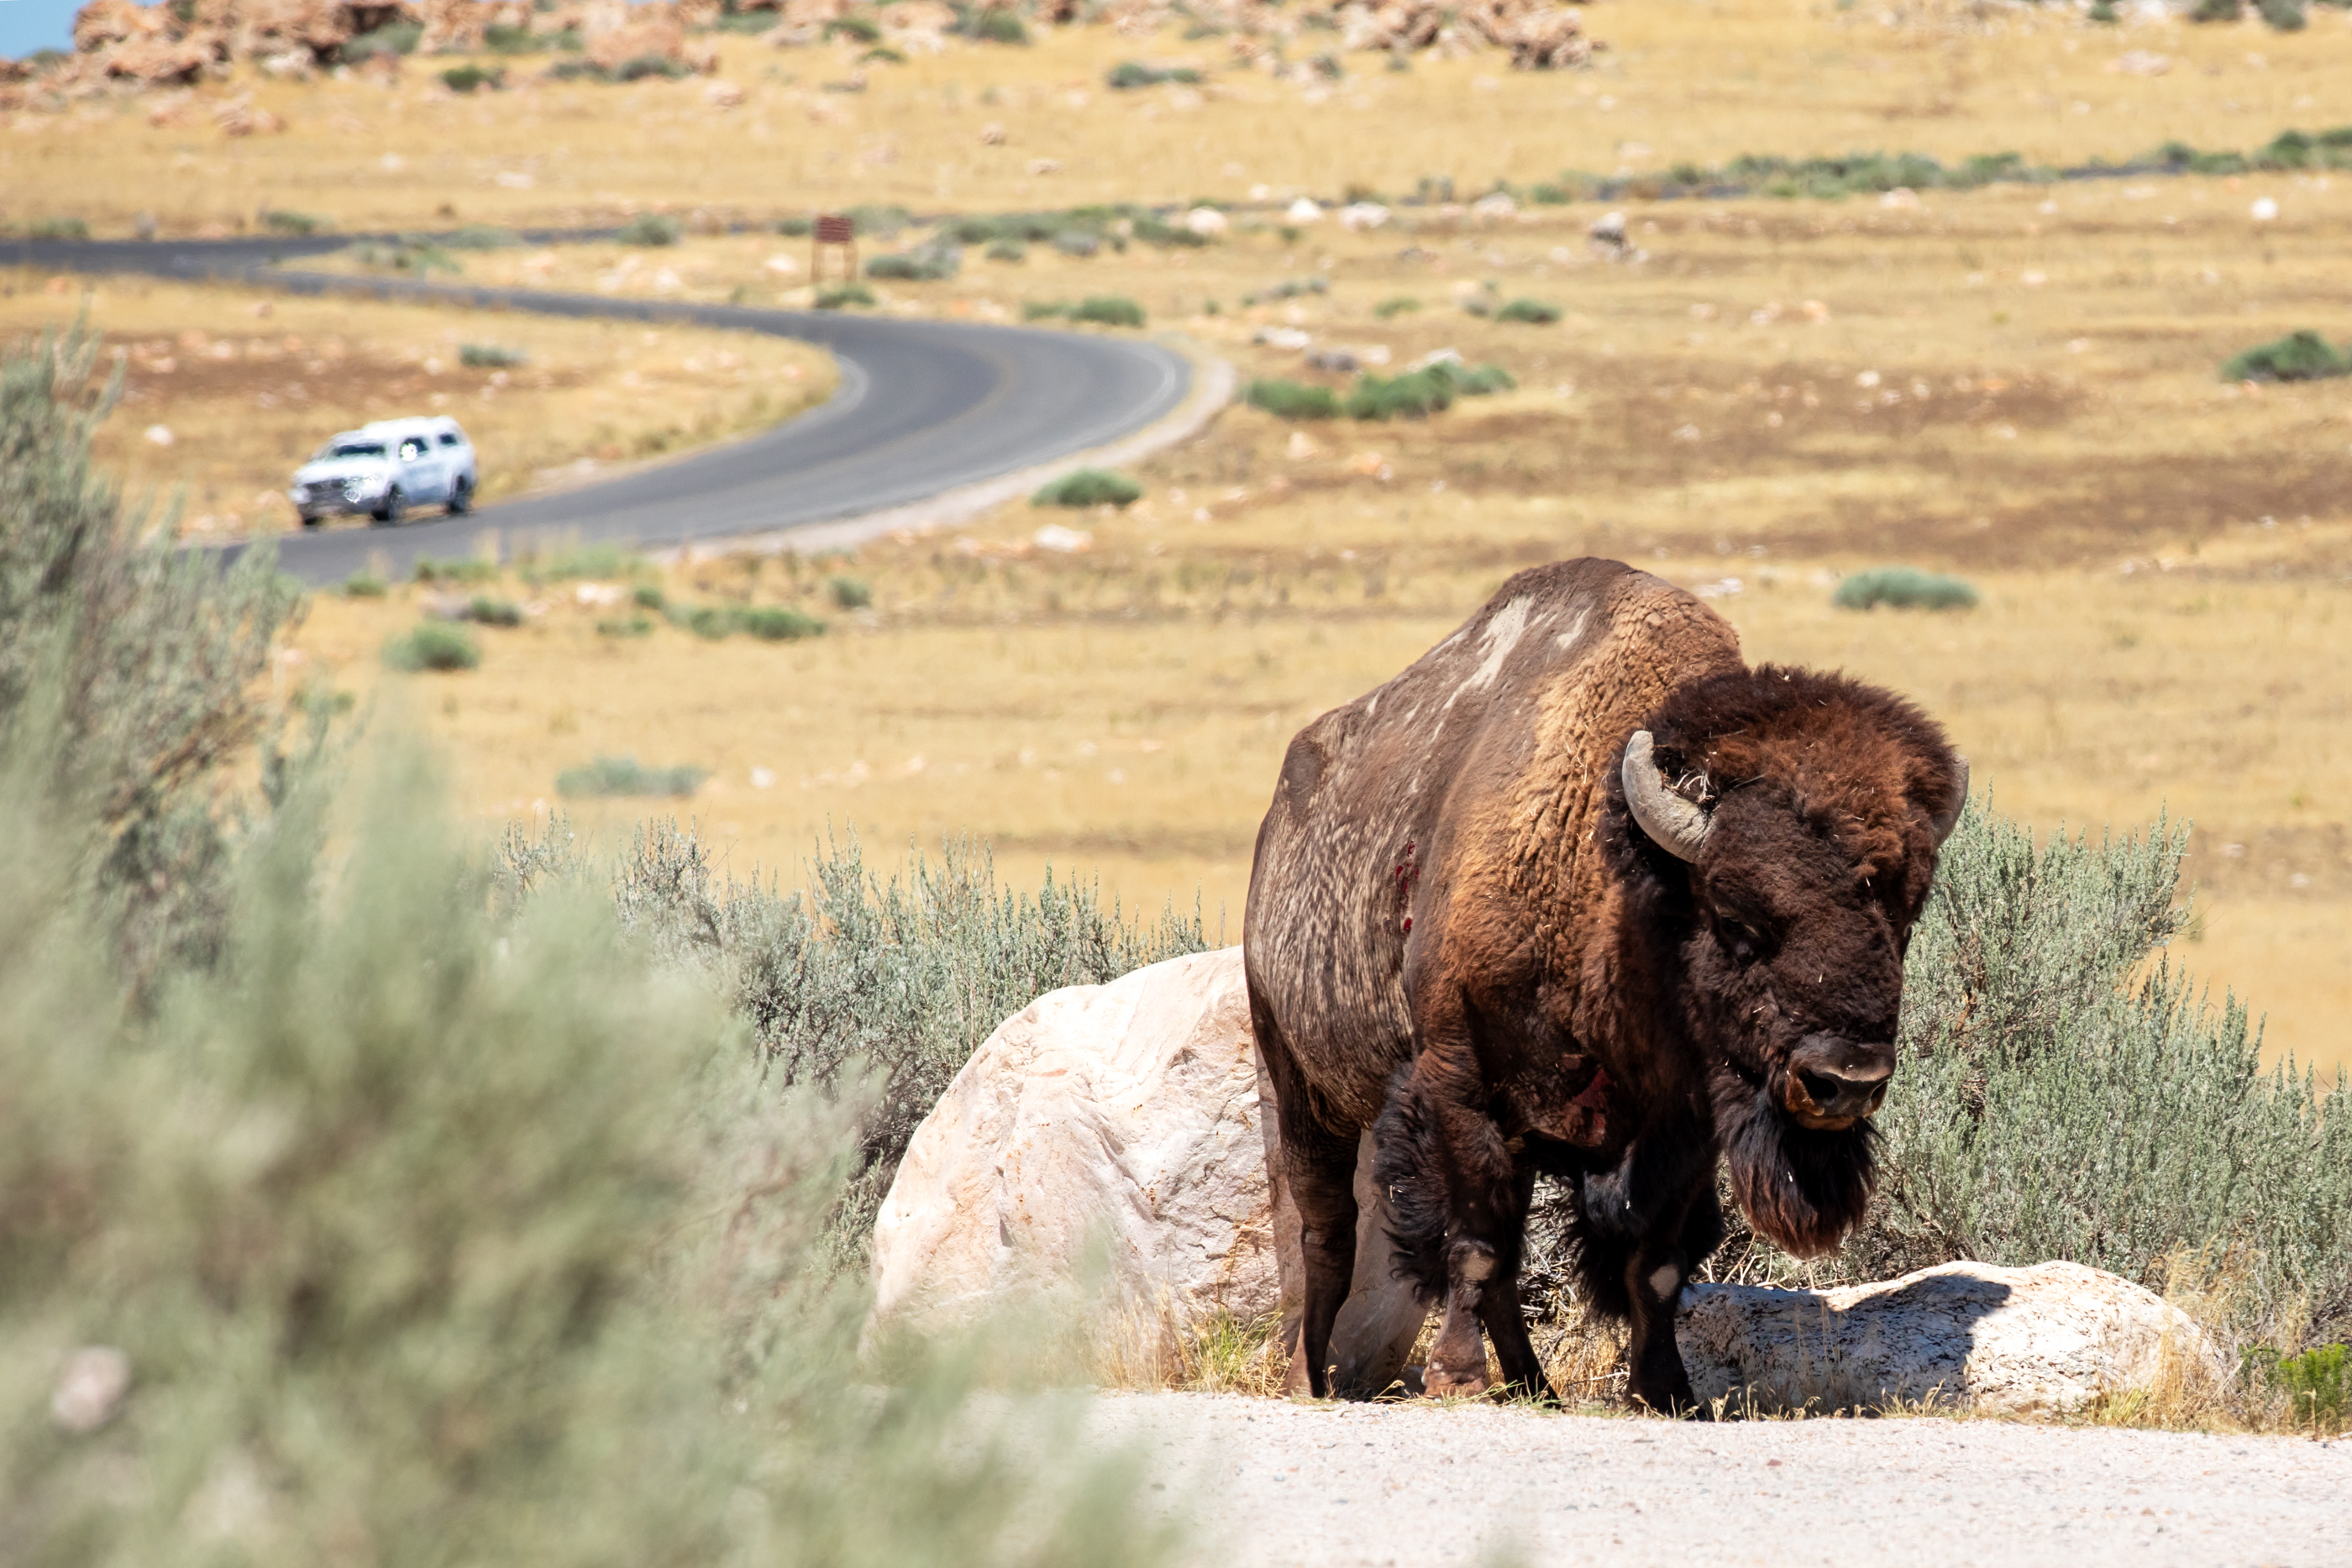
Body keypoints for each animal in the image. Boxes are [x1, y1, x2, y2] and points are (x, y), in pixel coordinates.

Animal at [1242, 558, 1967, 1411]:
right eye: (1734, 916)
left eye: (1907, 914)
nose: (1845, 1080)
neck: (1618, 882)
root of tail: (1276, 826)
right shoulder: (1458, 1083)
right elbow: (1476, 1240)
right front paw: (1456, 1376)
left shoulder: (1681, 1126)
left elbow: (1651, 1263)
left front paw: (1669, 1391)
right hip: (1300, 1086)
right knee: (1327, 1234)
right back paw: (1308, 1380)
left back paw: (1536, 1387)